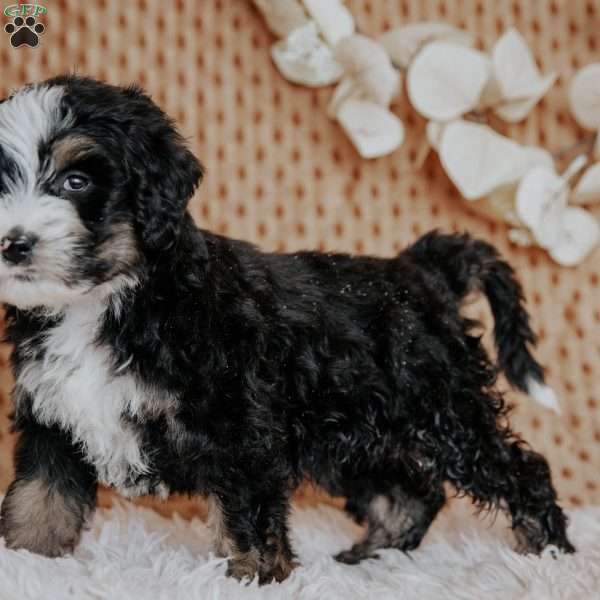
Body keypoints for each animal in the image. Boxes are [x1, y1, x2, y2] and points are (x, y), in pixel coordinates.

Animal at [0, 75, 572, 580]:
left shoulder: (241, 425)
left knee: (519, 471)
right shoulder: (53, 418)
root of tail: (420, 270)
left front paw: (256, 574)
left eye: (76, 181)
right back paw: (375, 555)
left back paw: (547, 553)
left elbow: (249, 515)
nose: (13, 244)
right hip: (361, 432)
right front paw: (26, 563)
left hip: (447, 412)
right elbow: (39, 497)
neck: (104, 300)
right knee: (412, 488)